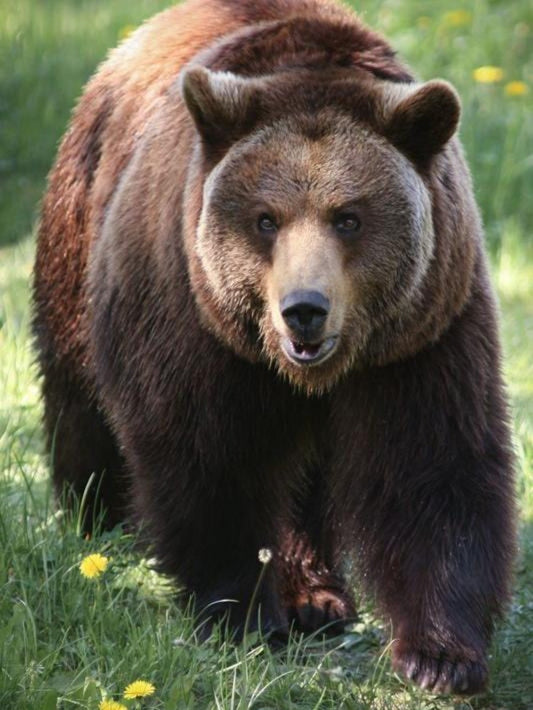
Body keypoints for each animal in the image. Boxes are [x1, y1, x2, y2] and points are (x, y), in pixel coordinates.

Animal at [33, 0, 516, 696]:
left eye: (349, 216)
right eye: (266, 219)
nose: (304, 310)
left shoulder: (423, 332)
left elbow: (433, 467)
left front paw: (441, 656)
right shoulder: (192, 316)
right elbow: (207, 453)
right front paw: (240, 615)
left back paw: (315, 595)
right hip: (82, 237)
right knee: (82, 405)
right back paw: (97, 523)